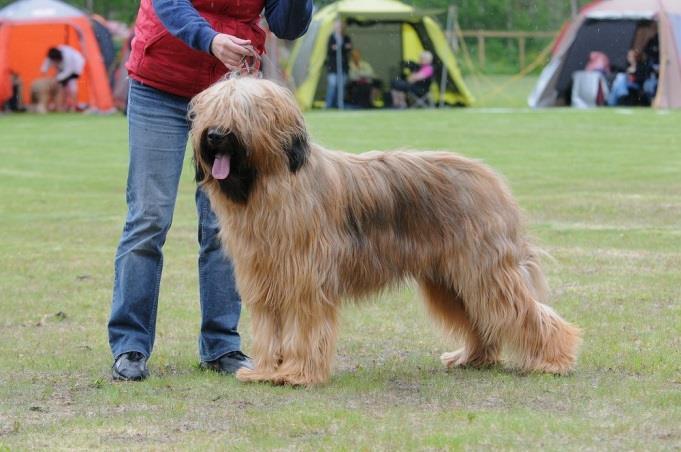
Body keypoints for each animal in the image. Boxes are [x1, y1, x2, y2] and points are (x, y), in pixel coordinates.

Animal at [190, 77, 580, 384]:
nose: (215, 135)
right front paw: (267, 371)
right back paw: (473, 357)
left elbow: (304, 327)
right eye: (211, 109)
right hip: (451, 280)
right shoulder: (264, 279)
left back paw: (554, 360)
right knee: (482, 319)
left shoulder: (305, 281)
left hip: (484, 270)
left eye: (244, 110)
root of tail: (490, 178)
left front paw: (296, 374)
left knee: (522, 312)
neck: (271, 185)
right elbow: (269, 329)